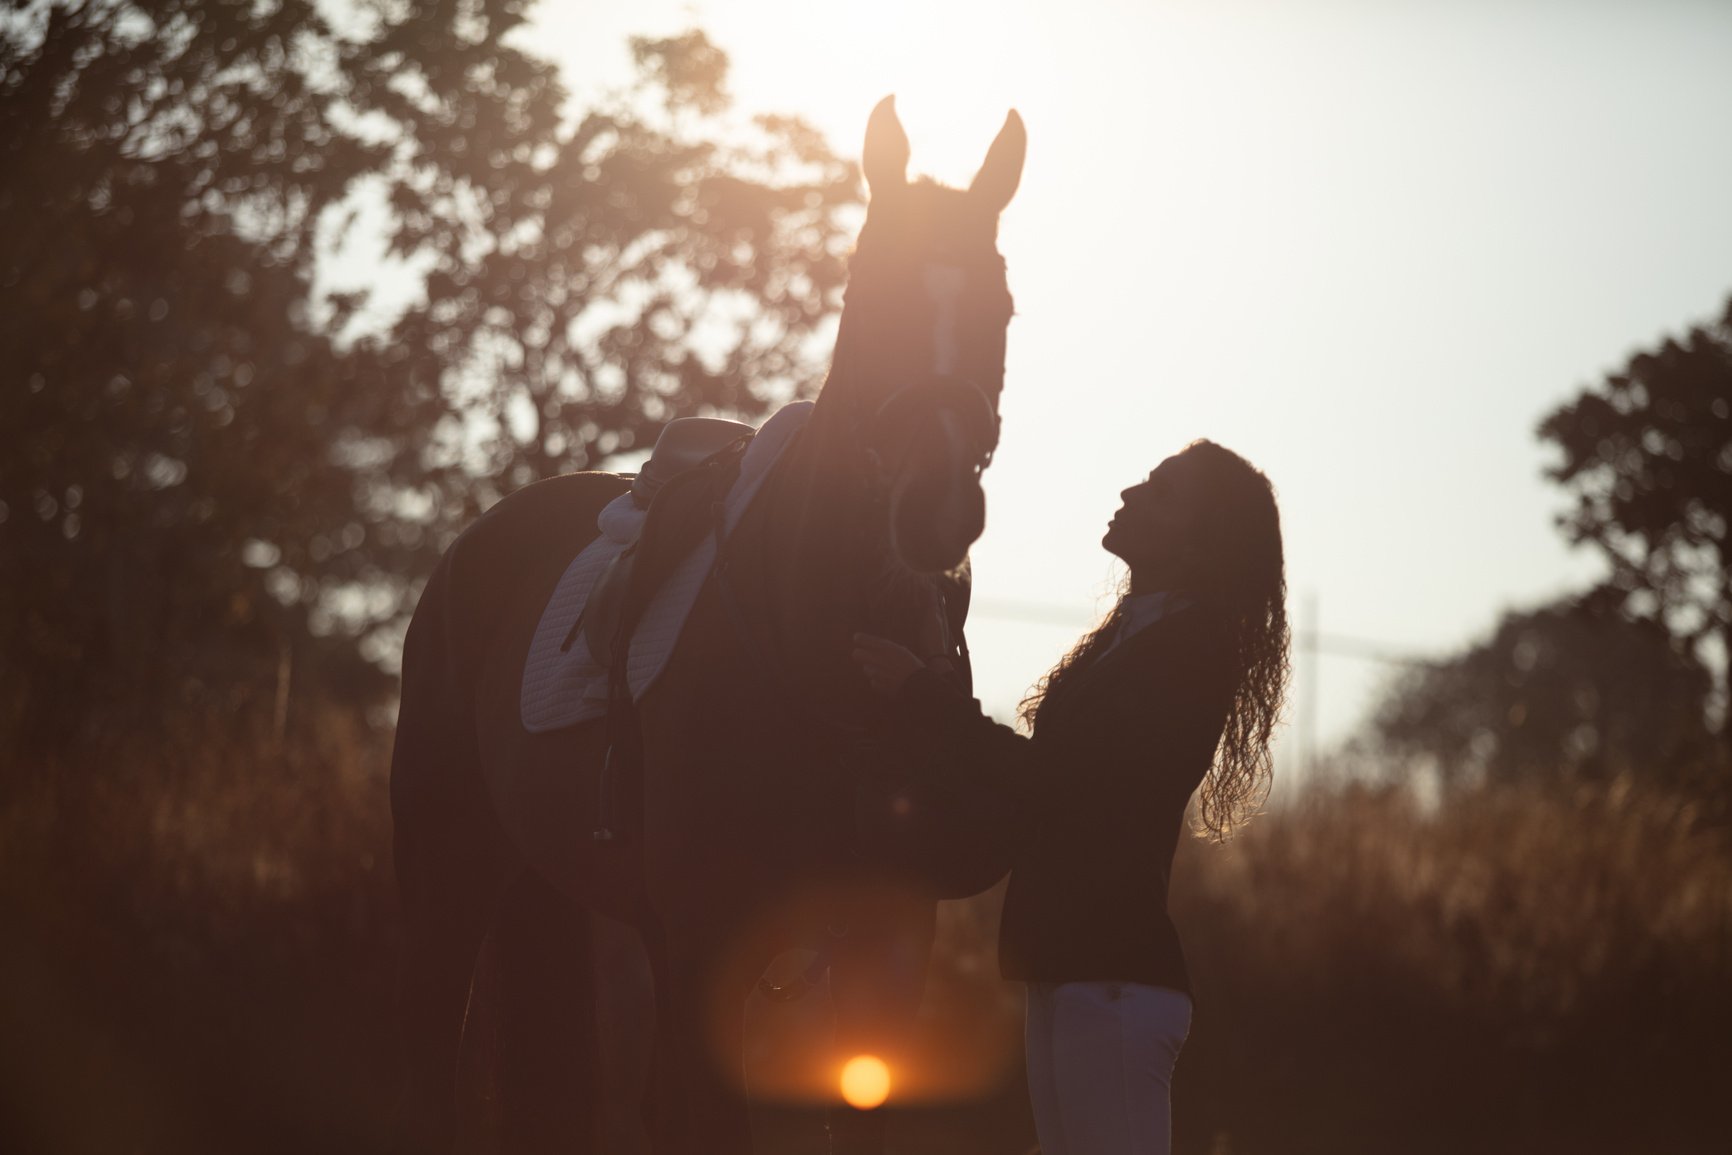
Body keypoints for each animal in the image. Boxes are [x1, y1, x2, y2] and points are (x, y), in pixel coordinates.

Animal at [386, 99, 1018, 1155]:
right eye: (868, 292)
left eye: (1000, 309)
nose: (936, 510)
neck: (819, 656)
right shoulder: (707, 942)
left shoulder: (883, 948)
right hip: (449, 869)